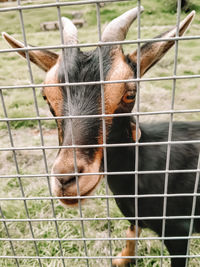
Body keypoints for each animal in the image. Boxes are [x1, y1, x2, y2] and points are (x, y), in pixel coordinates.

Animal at [2, 7, 198, 266]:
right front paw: (122, 259)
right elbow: (131, 232)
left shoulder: (178, 231)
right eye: (46, 96)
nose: (65, 180)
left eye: (130, 94)